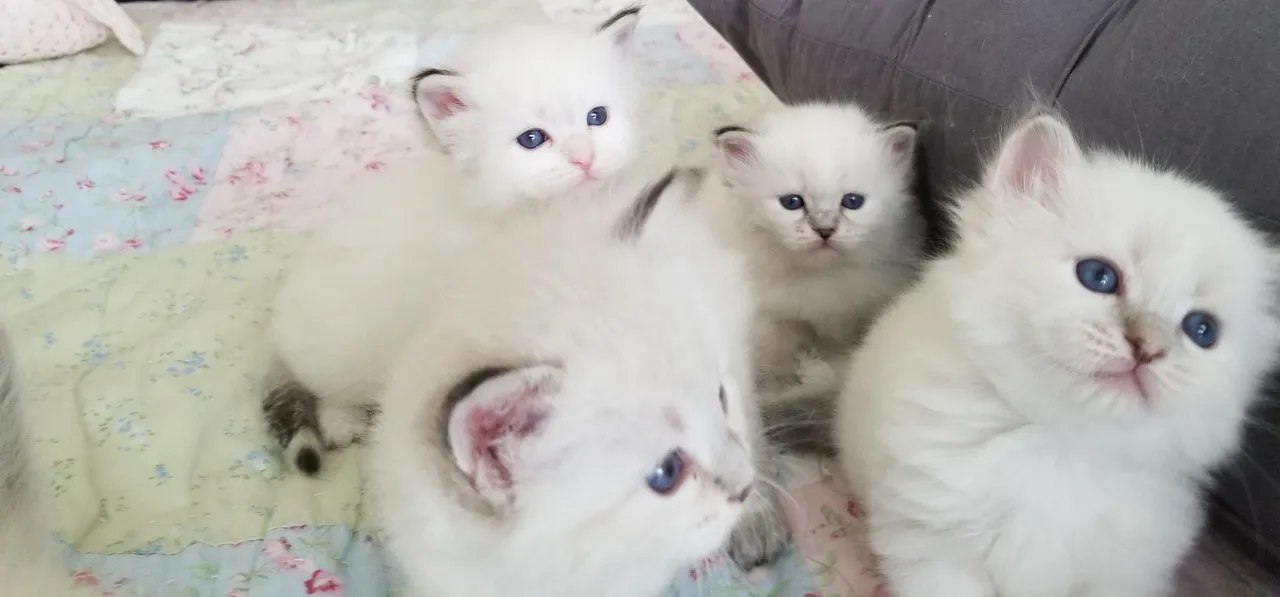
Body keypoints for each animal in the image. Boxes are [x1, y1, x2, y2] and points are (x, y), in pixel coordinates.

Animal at [703, 103, 925, 394]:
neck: (820, 280)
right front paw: (780, 383)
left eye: (852, 201)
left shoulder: (862, 310)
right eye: (792, 202)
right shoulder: (769, 316)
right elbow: (775, 350)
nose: (825, 231)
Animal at [834, 110, 1280, 597]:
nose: (1148, 348)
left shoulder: (1126, 573)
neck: (1061, 450)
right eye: (1099, 276)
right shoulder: (934, 552)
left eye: (1202, 330)